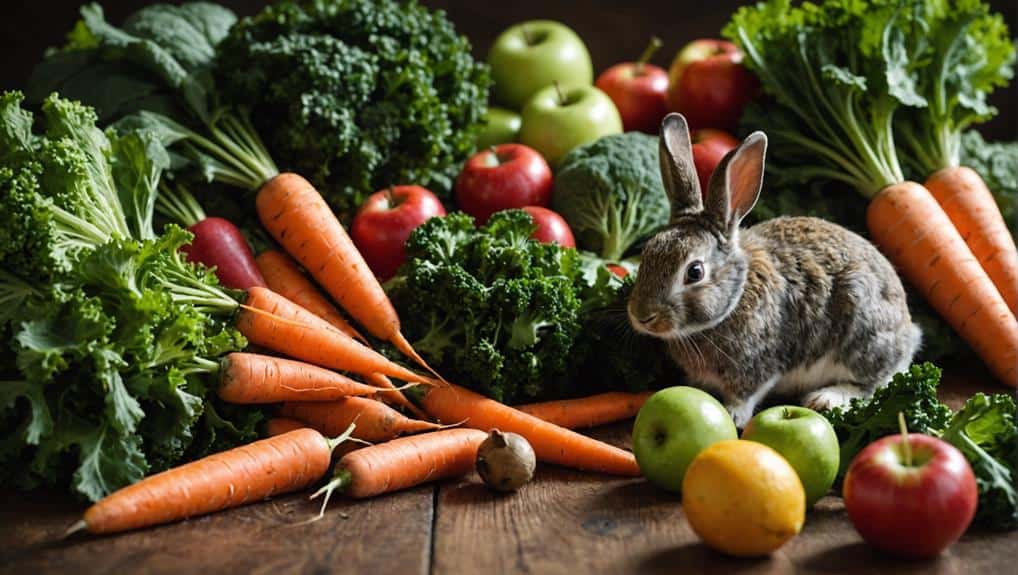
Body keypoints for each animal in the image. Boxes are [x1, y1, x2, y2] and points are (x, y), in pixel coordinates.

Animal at [628, 113, 921, 428]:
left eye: (694, 272)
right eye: (647, 253)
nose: (642, 316)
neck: (733, 301)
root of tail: (908, 330)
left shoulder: (759, 363)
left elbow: (747, 394)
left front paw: (733, 416)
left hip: (862, 332)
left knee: (875, 381)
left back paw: (827, 398)